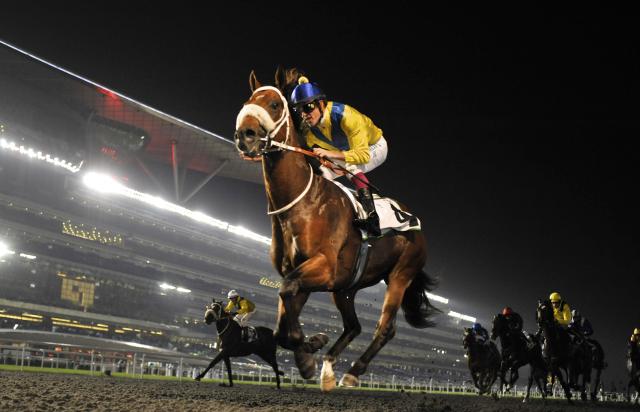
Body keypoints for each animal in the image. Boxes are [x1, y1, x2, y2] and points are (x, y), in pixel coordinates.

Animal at [235, 67, 440, 392]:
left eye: (275, 105)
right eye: (248, 102)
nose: (246, 135)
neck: (304, 203)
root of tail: (414, 223)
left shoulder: (324, 267)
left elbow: (286, 301)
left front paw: (310, 348)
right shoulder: (301, 273)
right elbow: (283, 319)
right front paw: (308, 354)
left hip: (400, 276)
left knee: (385, 328)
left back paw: (353, 371)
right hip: (346, 288)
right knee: (353, 326)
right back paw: (329, 368)